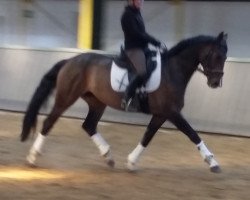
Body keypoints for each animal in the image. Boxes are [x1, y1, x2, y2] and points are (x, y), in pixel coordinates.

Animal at [21, 32, 229, 173]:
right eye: (216, 55)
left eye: (225, 57)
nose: (215, 82)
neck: (172, 71)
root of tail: (69, 61)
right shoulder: (172, 113)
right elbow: (192, 134)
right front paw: (213, 162)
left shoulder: (161, 114)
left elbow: (147, 136)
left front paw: (131, 162)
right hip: (66, 98)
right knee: (49, 123)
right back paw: (32, 157)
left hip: (97, 102)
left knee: (89, 125)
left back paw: (108, 157)